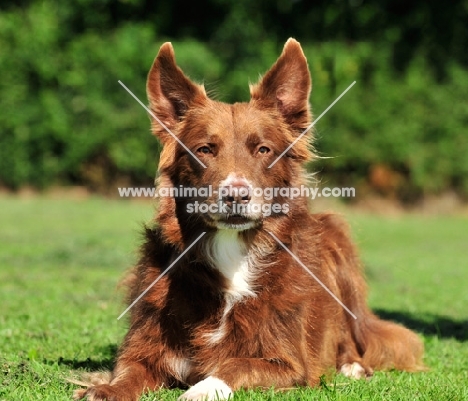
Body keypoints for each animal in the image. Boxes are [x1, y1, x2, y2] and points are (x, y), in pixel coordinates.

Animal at [72, 38, 424, 400]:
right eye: (204, 149)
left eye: (263, 150)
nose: (237, 195)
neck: (232, 253)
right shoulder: (144, 350)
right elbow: (126, 373)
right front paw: (105, 390)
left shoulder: (290, 364)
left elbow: (235, 365)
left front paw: (202, 389)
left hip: (337, 239)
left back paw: (353, 366)